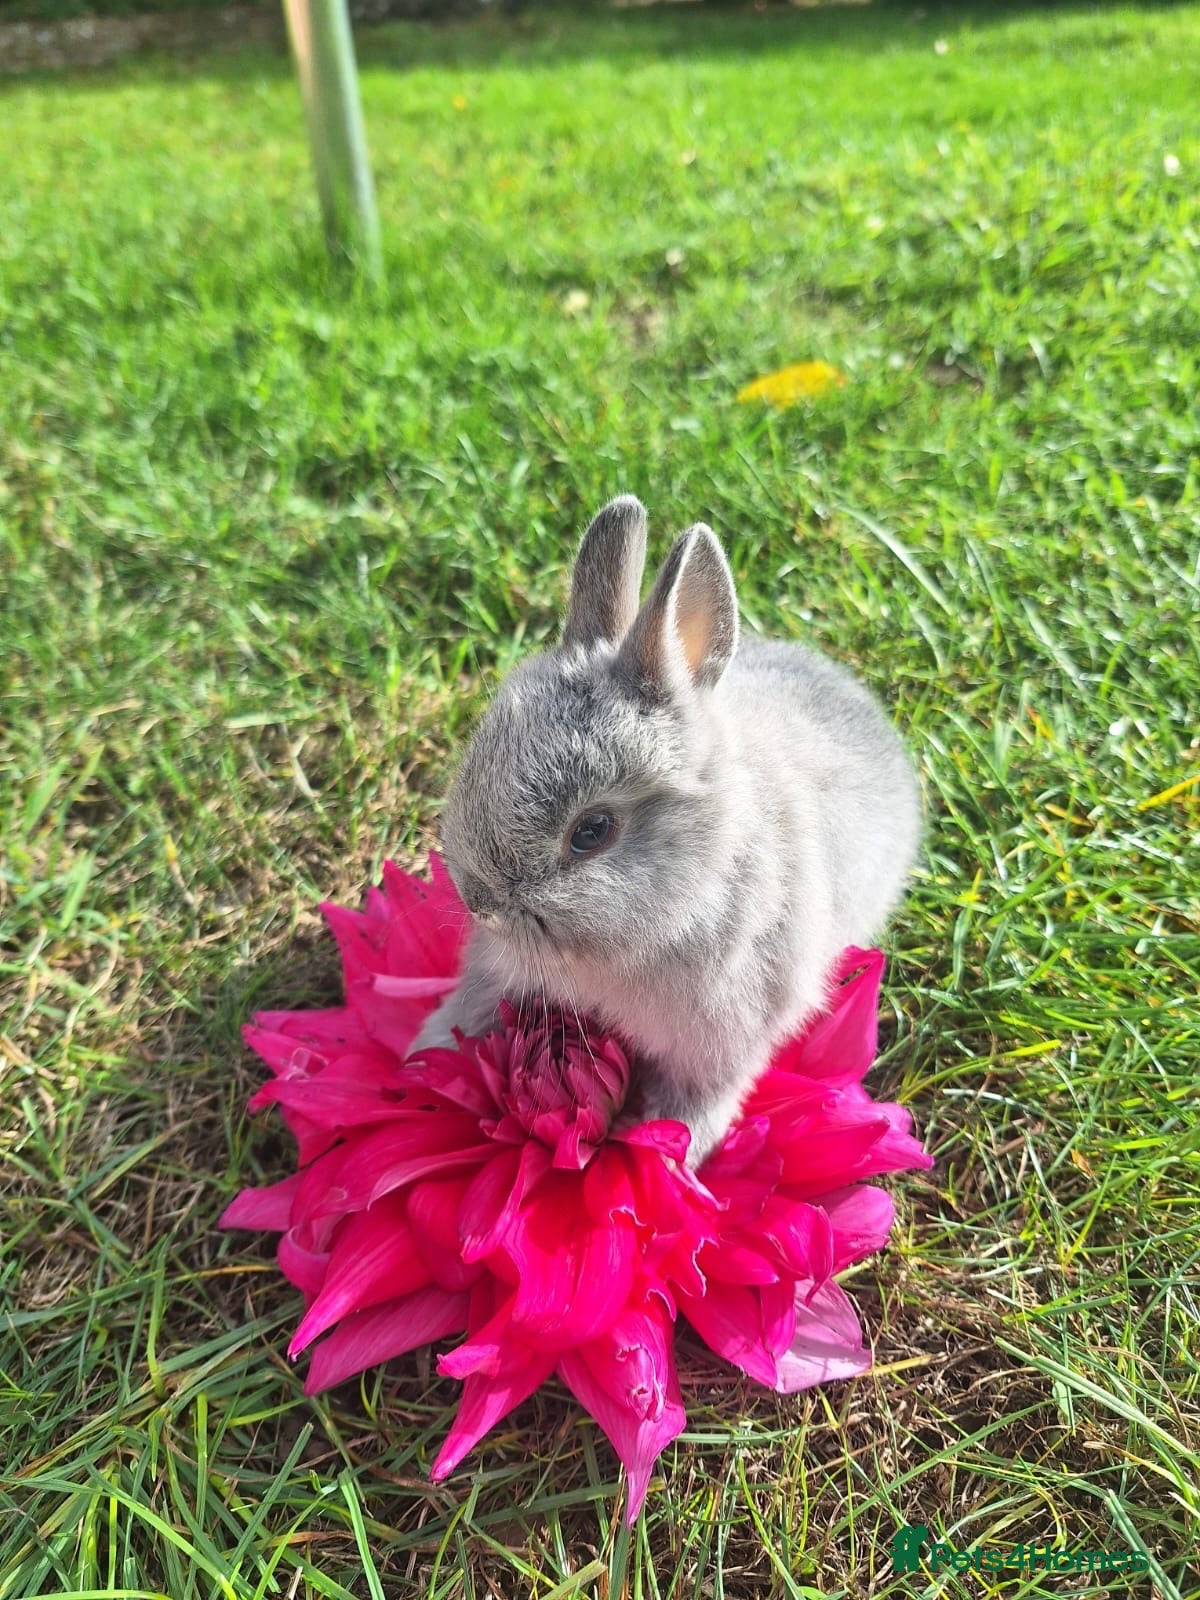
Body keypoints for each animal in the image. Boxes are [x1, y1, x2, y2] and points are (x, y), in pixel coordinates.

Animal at [409, 495, 921, 1166]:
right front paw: (421, 1060)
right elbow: (468, 1007)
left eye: (593, 831)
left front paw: (665, 1153)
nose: (481, 905)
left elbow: (696, 1106)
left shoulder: (724, 1044)